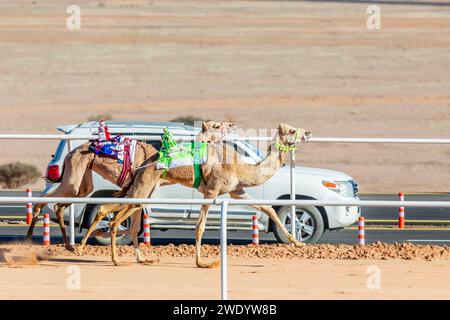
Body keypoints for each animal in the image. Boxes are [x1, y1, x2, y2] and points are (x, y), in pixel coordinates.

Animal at [26, 120, 236, 250]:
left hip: (83, 181)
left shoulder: (134, 191)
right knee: (46, 201)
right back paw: (31, 238)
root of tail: (69, 152)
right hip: (75, 174)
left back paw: (68, 245)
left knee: (60, 205)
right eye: (217, 125)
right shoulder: (135, 188)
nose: (232, 125)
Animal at [78, 124, 310, 266]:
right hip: (143, 186)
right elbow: (199, 227)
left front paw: (298, 243)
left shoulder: (236, 191)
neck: (240, 167)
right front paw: (202, 262)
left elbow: (268, 208)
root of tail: (146, 162)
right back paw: (112, 257)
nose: (307, 133)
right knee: (116, 218)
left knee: (110, 210)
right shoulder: (211, 191)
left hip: (144, 189)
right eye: (291, 130)